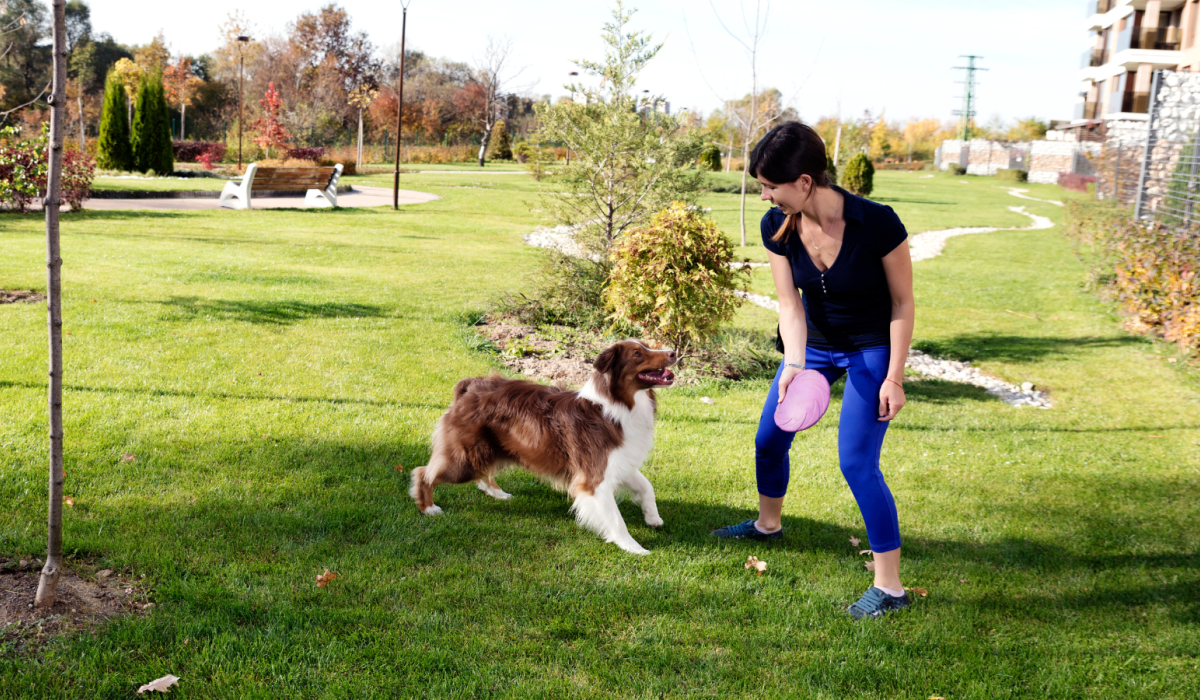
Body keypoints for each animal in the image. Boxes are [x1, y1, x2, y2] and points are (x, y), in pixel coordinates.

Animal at [409, 340, 677, 554]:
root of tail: (469, 387)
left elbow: (647, 486)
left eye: (646, 346)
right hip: (465, 459)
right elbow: (615, 518)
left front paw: (653, 518)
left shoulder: (620, 461)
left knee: (483, 475)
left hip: (490, 451)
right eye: (637, 354)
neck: (619, 406)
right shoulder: (594, 478)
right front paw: (634, 548)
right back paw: (429, 508)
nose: (673, 352)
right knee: (424, 472)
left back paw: (498, 493)